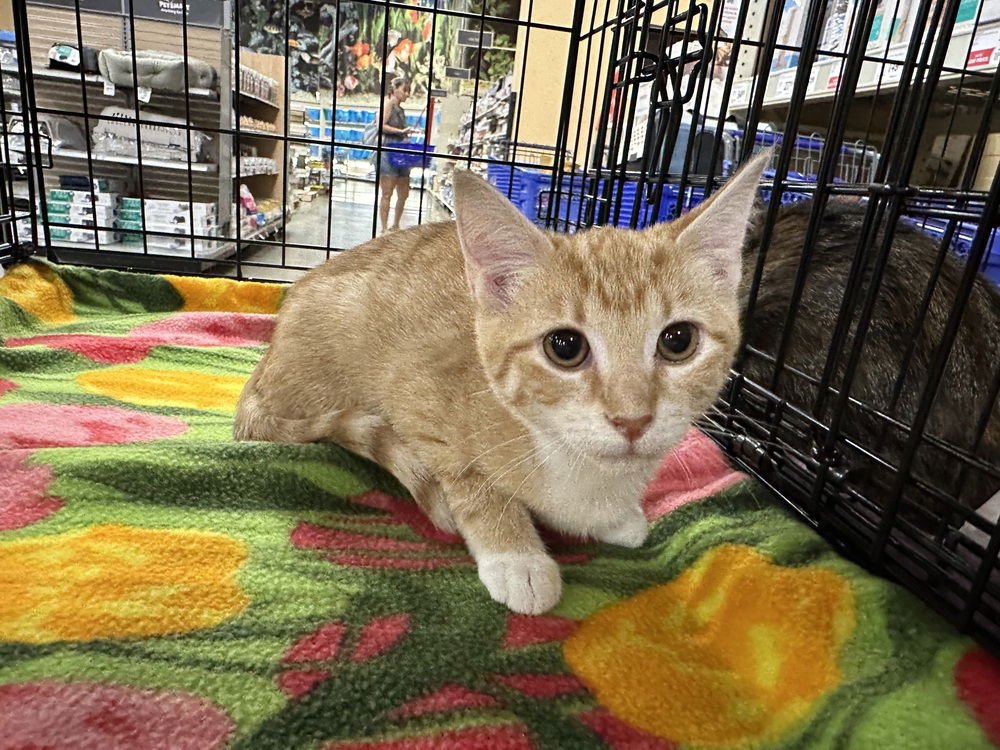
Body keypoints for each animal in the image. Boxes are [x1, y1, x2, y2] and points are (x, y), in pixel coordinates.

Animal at [234, 154, 764, 616]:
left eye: (679, 341)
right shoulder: (416, 403)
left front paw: (614, 518)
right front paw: (515, 554)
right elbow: (469, 480)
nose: (632, 420)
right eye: (564, 347)